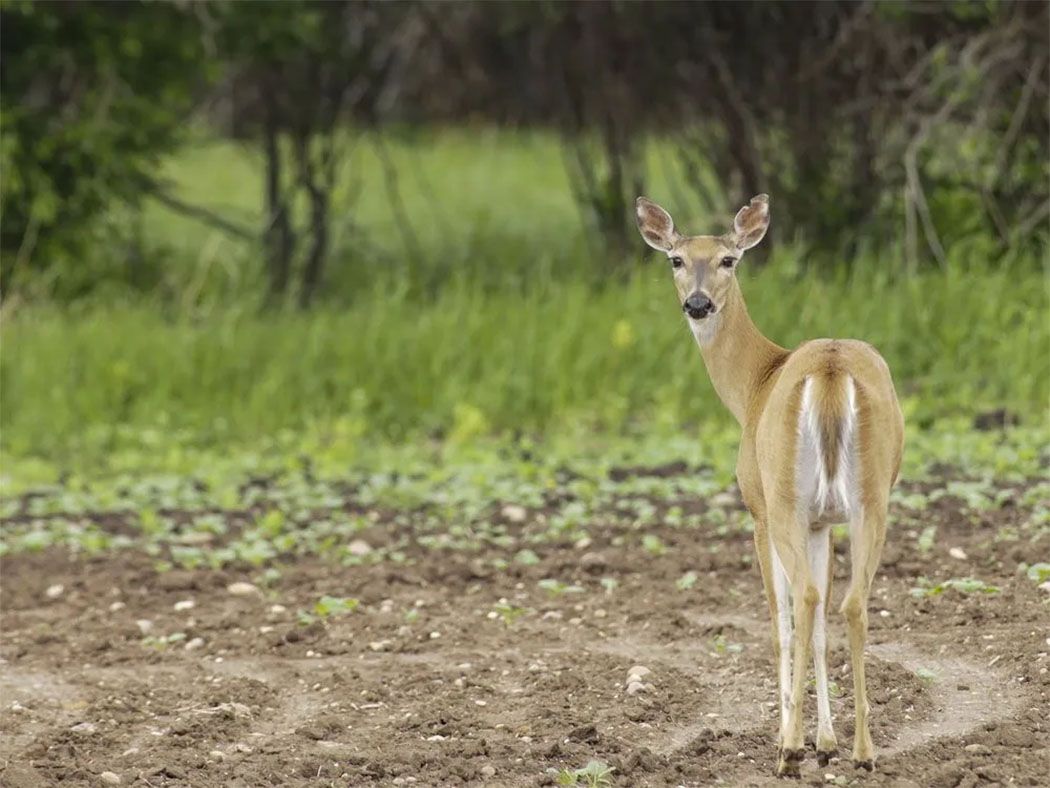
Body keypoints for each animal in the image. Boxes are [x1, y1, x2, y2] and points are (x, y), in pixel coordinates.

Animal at [634, 196, 907, 777]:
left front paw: (796, 738)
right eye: (675, 259)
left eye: (728, 259)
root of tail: (830, 371)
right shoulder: (823, 521)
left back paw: (788, 753)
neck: (754, 384)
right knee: (851, 602)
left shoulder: (758, 510)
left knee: (800, 600)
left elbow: (779, 620)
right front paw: (827, 742)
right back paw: (863, 753)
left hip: (784, 499)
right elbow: (822, 622)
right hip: (871, 499)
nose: (697, 304)